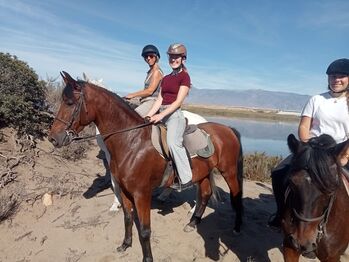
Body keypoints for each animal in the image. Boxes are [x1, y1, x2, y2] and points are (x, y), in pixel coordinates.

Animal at [49, 71, 243, 262]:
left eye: (69, 103)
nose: (53, 138)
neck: (132, 141)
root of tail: (228, 129)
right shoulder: (126, 190)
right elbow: (127, 217)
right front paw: (125, 244)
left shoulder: (141, 194)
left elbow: (144, 230)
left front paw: (147, 257)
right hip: (203, 172)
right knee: (205, 194)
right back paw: (192, 222)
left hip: (229, 172)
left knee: (234, 198)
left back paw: (236, 228)